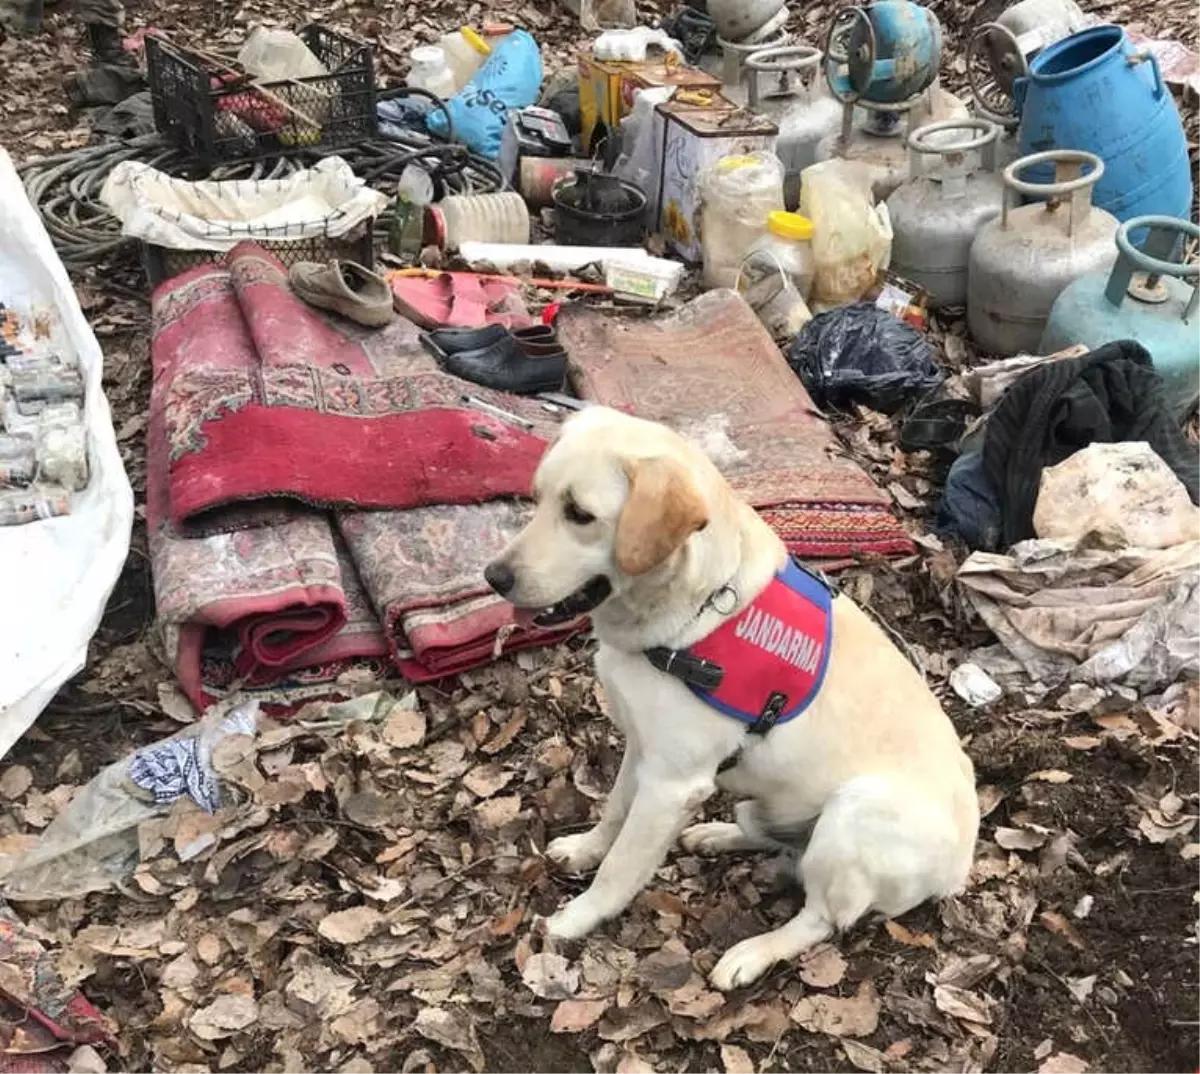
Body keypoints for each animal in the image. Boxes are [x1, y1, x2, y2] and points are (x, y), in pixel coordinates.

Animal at [482, 405, 979, 988]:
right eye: (536, 498)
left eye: (580, 514)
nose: (493, 577)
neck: (694, 612)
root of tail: (959, 869)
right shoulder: (643, 750)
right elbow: (613, 812)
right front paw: (585, 849)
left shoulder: (670, 784)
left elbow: (621, 865)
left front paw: (578, 917)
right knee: (773, 837)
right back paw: (716, 835)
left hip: (857, 811)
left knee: (820, 918)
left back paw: (751, 953)